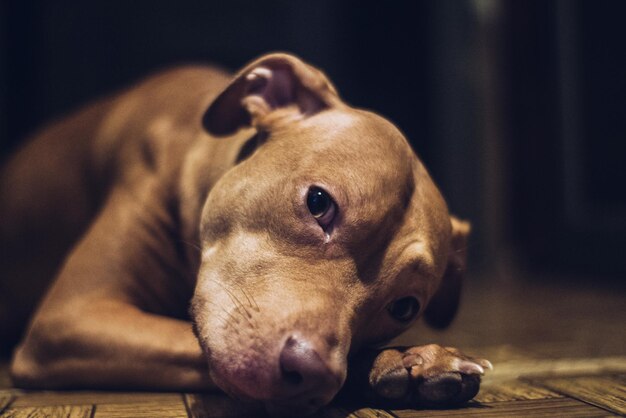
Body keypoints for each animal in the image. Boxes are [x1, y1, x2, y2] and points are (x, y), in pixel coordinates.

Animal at [1, 53, 488, 414]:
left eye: (404, 308)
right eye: (318, 202)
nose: (315, 373)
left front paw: (408, 359)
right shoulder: (72, 315)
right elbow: (186, 340)